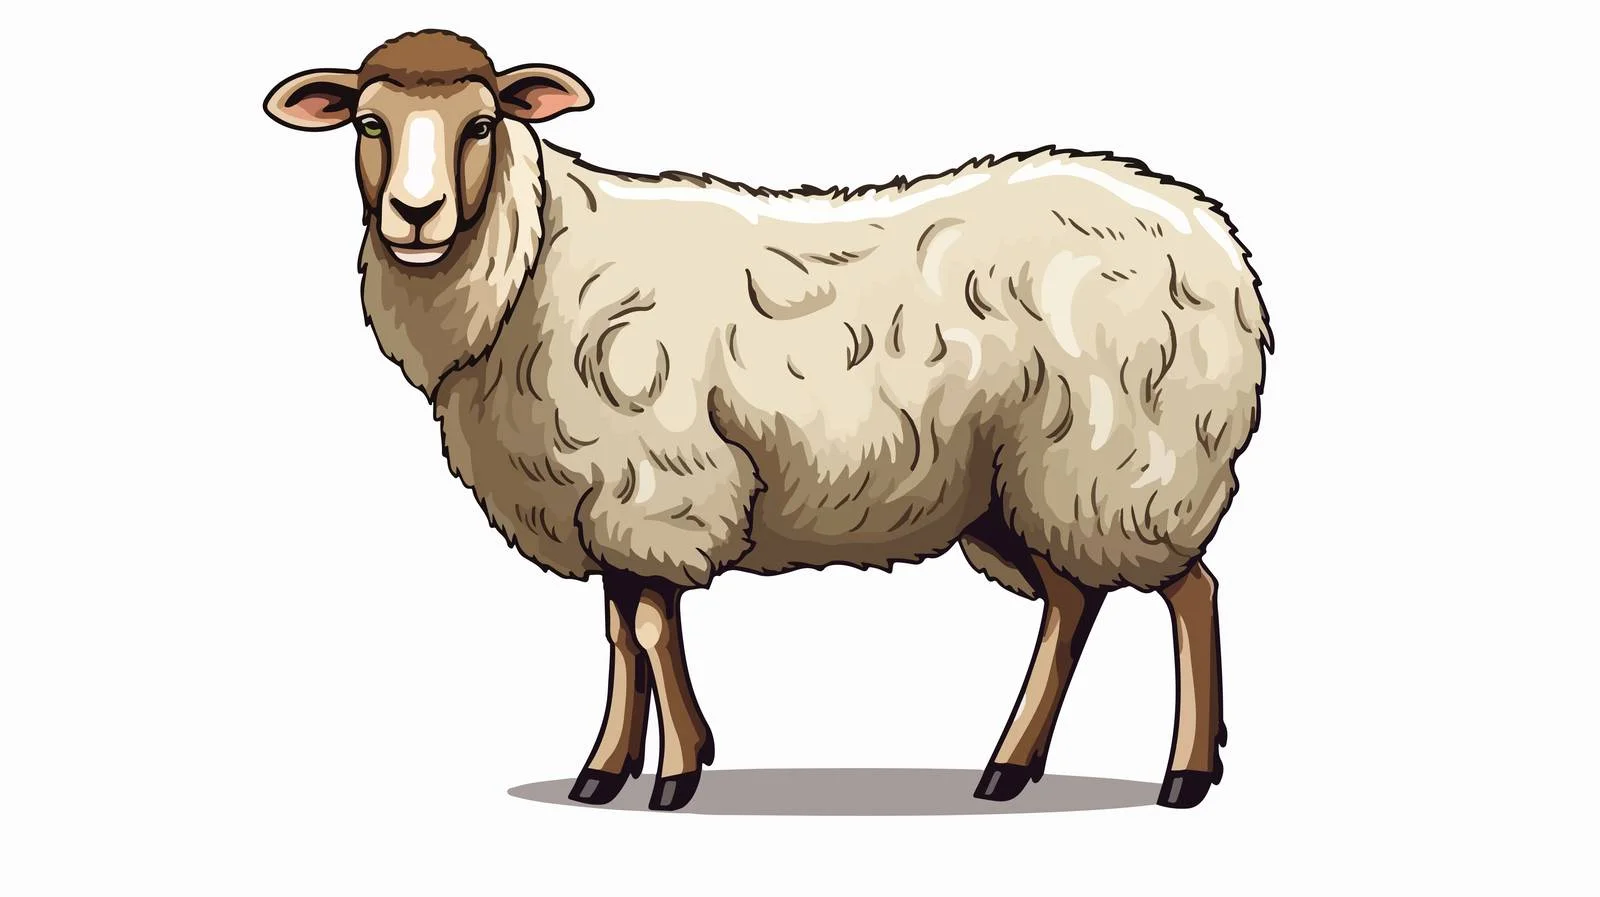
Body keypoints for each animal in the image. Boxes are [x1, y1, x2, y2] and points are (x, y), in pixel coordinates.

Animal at [264, 29, 1272, 813]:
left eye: (481, 122)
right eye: (367, 123)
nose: (417, 214)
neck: (530, 263)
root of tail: (1210, 235)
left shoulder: (657, 483)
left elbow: (651, 630)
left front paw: (674, 774)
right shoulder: (602, 495)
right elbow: (620, 633)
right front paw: (606, 771)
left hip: (1131, 457)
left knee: (1192, 593)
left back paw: (1185, 774)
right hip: (1033, 476)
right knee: (1072, 602)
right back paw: (1008, 766)